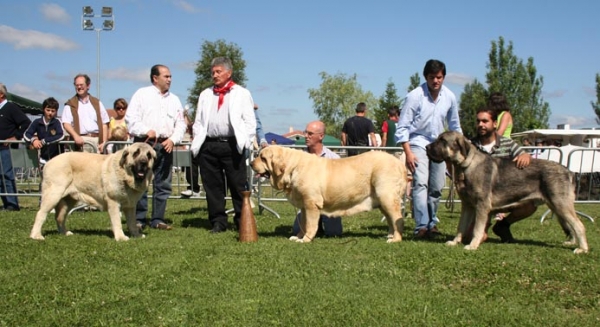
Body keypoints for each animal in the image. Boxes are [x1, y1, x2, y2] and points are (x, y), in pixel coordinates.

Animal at [248, 146, 408, 243]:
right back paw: (390, 235)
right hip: (382, 202)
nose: (250, 163)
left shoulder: (311, 204)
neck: (293, 168)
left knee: (397, 219)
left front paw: (305, 239)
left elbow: (310, 224)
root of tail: (400, 163)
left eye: (262, 157)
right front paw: (298, 237)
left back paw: (395, 239)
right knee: (390, 220)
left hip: (387, 197)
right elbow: (303, 224)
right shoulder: (304, 207)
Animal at [426, 131, 592, 254]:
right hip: (556, 206)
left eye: (442, 140)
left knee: (579, 225)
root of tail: (568, 171)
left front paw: (473, 245)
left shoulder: (482, 206)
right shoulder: (467, 206)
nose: (427, 147)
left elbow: (477, 228)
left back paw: (582, 249)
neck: (467, 166)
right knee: (572, 225)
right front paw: (455, 242)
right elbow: (461, 226)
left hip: (560, 204)